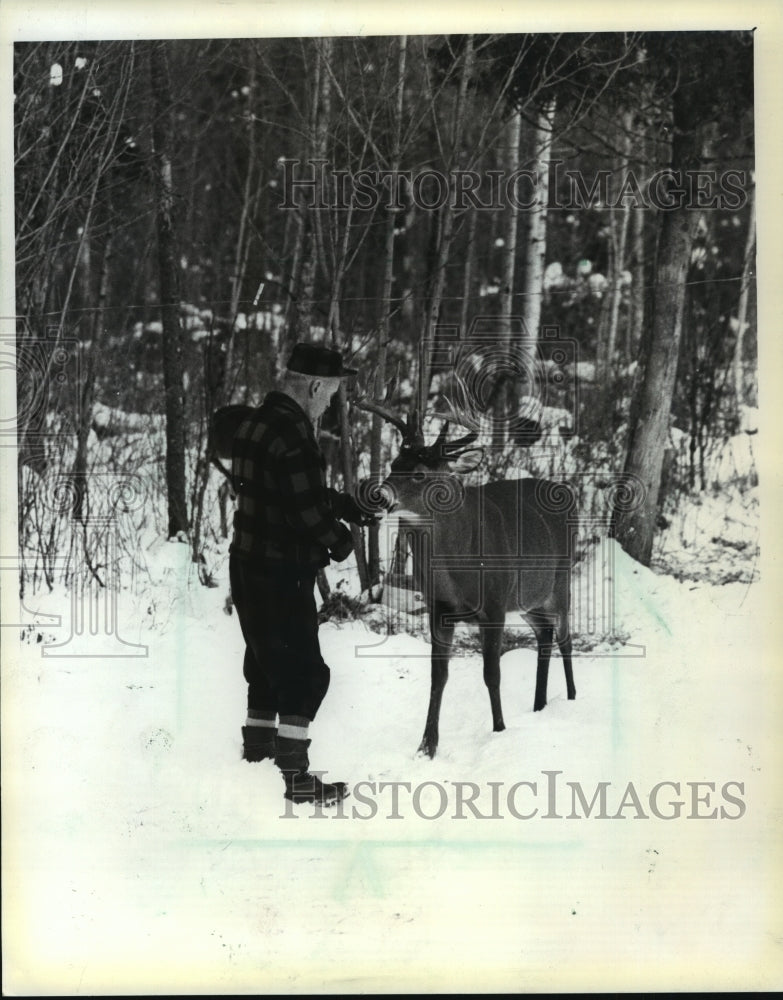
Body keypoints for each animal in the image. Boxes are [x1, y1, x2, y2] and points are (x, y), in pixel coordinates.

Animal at [356, 390, 576, 756]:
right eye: (393, 465)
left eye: (419, 474)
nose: (377, 495)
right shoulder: (439, 609)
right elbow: (439, 675)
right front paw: (427, 746)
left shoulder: (494, 605)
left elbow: (492, 673)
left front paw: (499, 730)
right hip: (528, 600)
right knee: (545, 635)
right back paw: (539, 705)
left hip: (560, 584)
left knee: (565, 638)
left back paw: (572, 700)